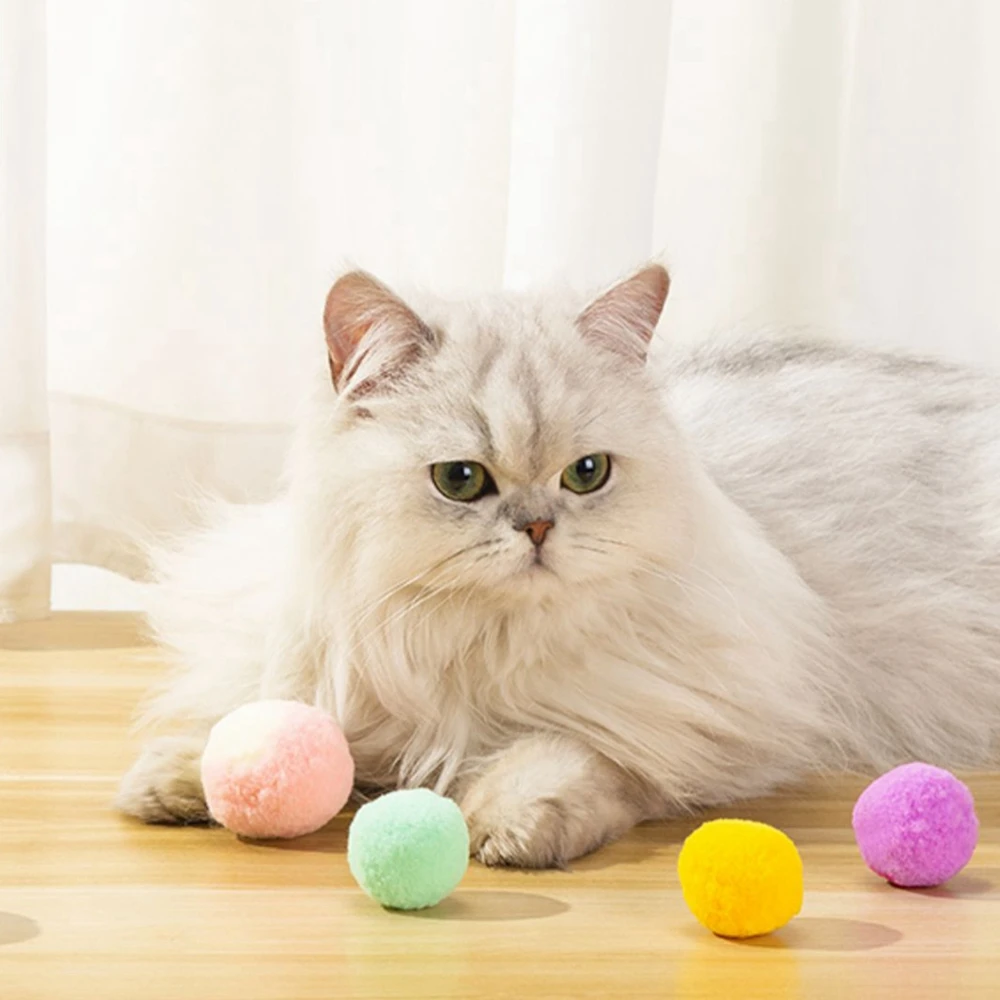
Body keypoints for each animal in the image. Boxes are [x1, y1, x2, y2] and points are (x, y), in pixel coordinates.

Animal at [117, 266, 1000, 868]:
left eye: (587, 474)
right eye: (460, 480)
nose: (539, 527)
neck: (471, 644)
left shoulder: (698, 715)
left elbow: (577, 756)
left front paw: (507, 825)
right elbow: (269, 725)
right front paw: (177, 782)